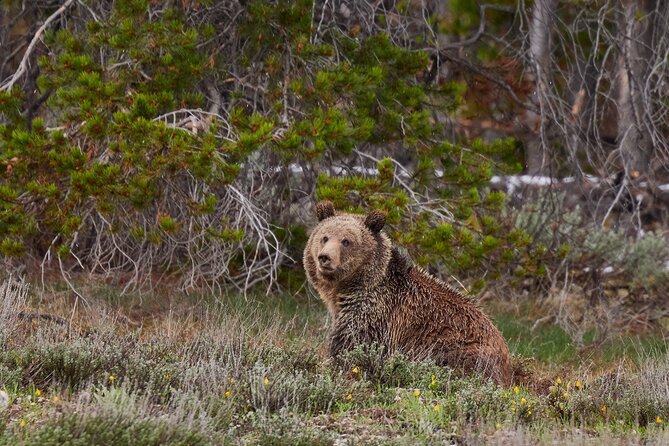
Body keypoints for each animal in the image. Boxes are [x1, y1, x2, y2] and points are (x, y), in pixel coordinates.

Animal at [302, 200, 512, 386]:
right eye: (324, 237)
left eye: (346, 241)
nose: (324, 257)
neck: (347, 288)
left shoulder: (374, 313)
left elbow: (350, 345)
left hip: (456, 347)